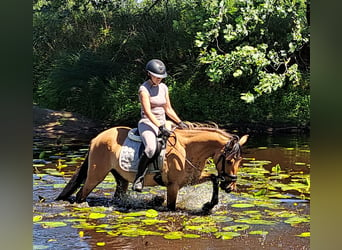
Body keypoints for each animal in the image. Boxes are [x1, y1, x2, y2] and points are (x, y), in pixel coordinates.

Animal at [56, 123, 248, 211]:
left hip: (120, 178)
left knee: (118, 196)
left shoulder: (191, 179)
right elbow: (171, 207)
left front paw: (209, 205)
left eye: (240, 161)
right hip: (96, 175)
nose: (231, 187)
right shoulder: (173, 186)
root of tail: (96, 139)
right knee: (81, 194)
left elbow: (214, 178)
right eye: (229, 161)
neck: (187, 149)